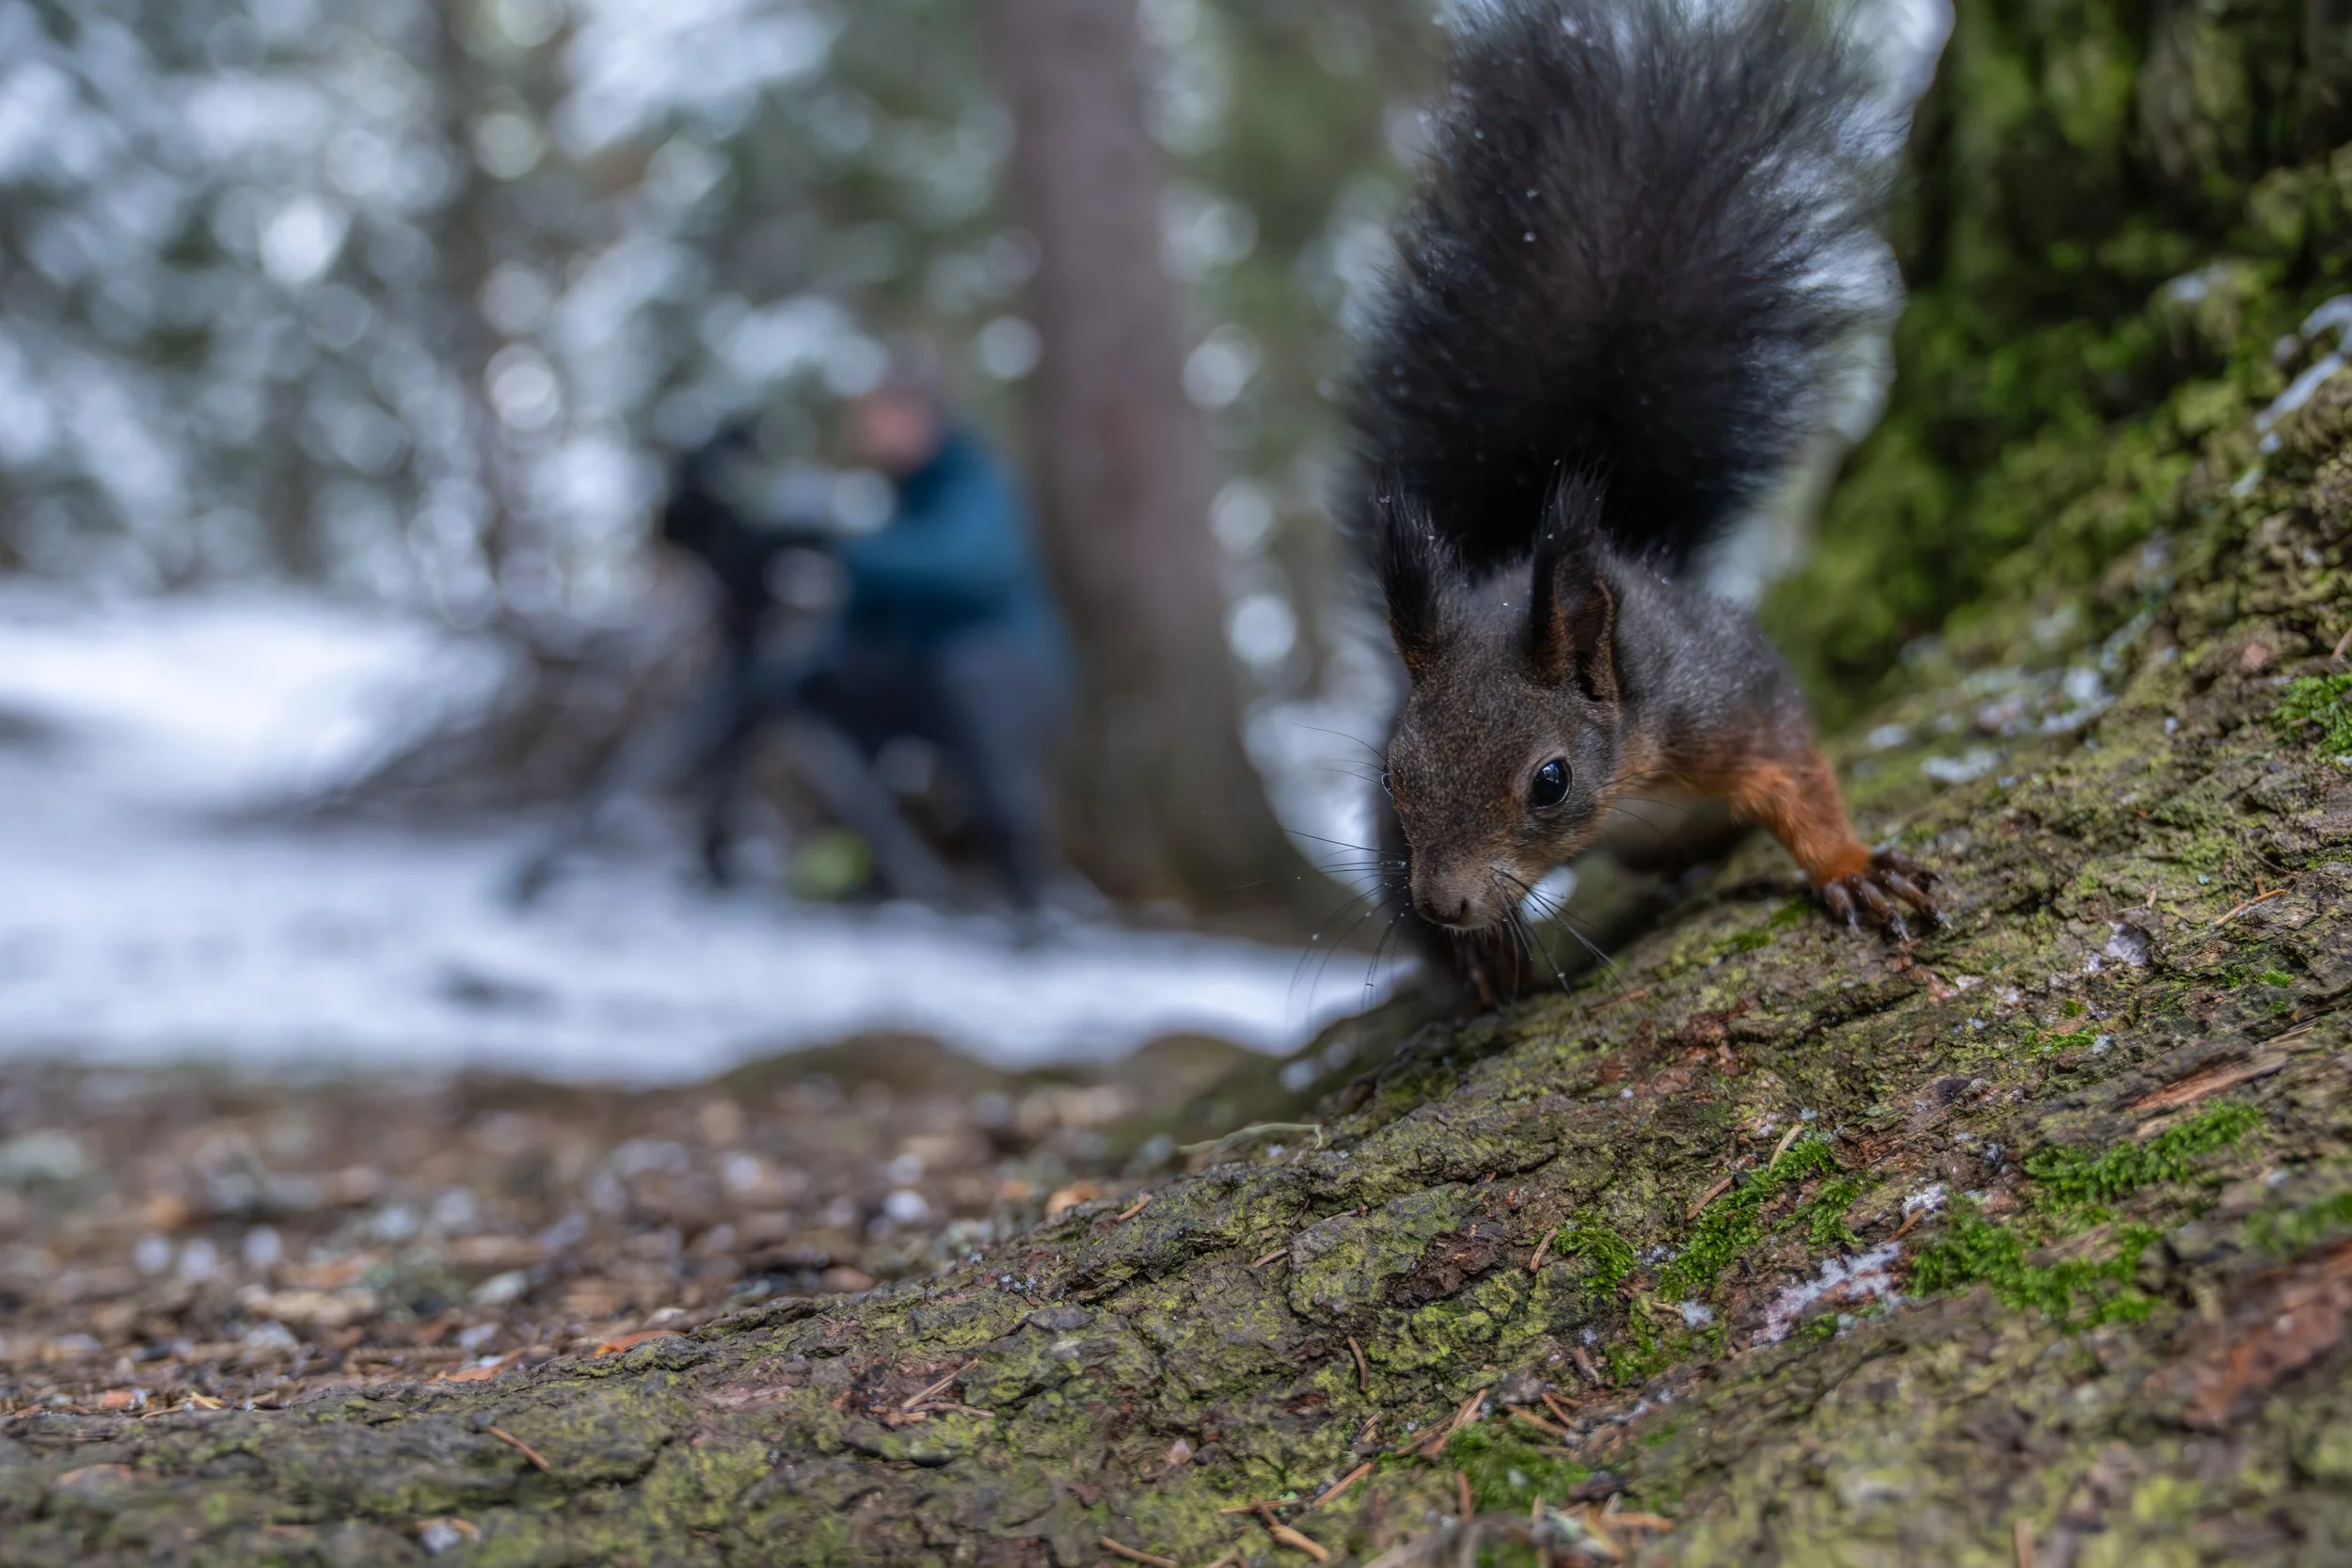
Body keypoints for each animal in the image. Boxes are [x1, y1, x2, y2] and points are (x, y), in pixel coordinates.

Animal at [1347, 0, 1947, 996]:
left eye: (1550, 780)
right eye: (1394, 776)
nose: (1447, 901)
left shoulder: (1719, 695)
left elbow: (1799, 773)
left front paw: (1851, 865)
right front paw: (1477, 957)